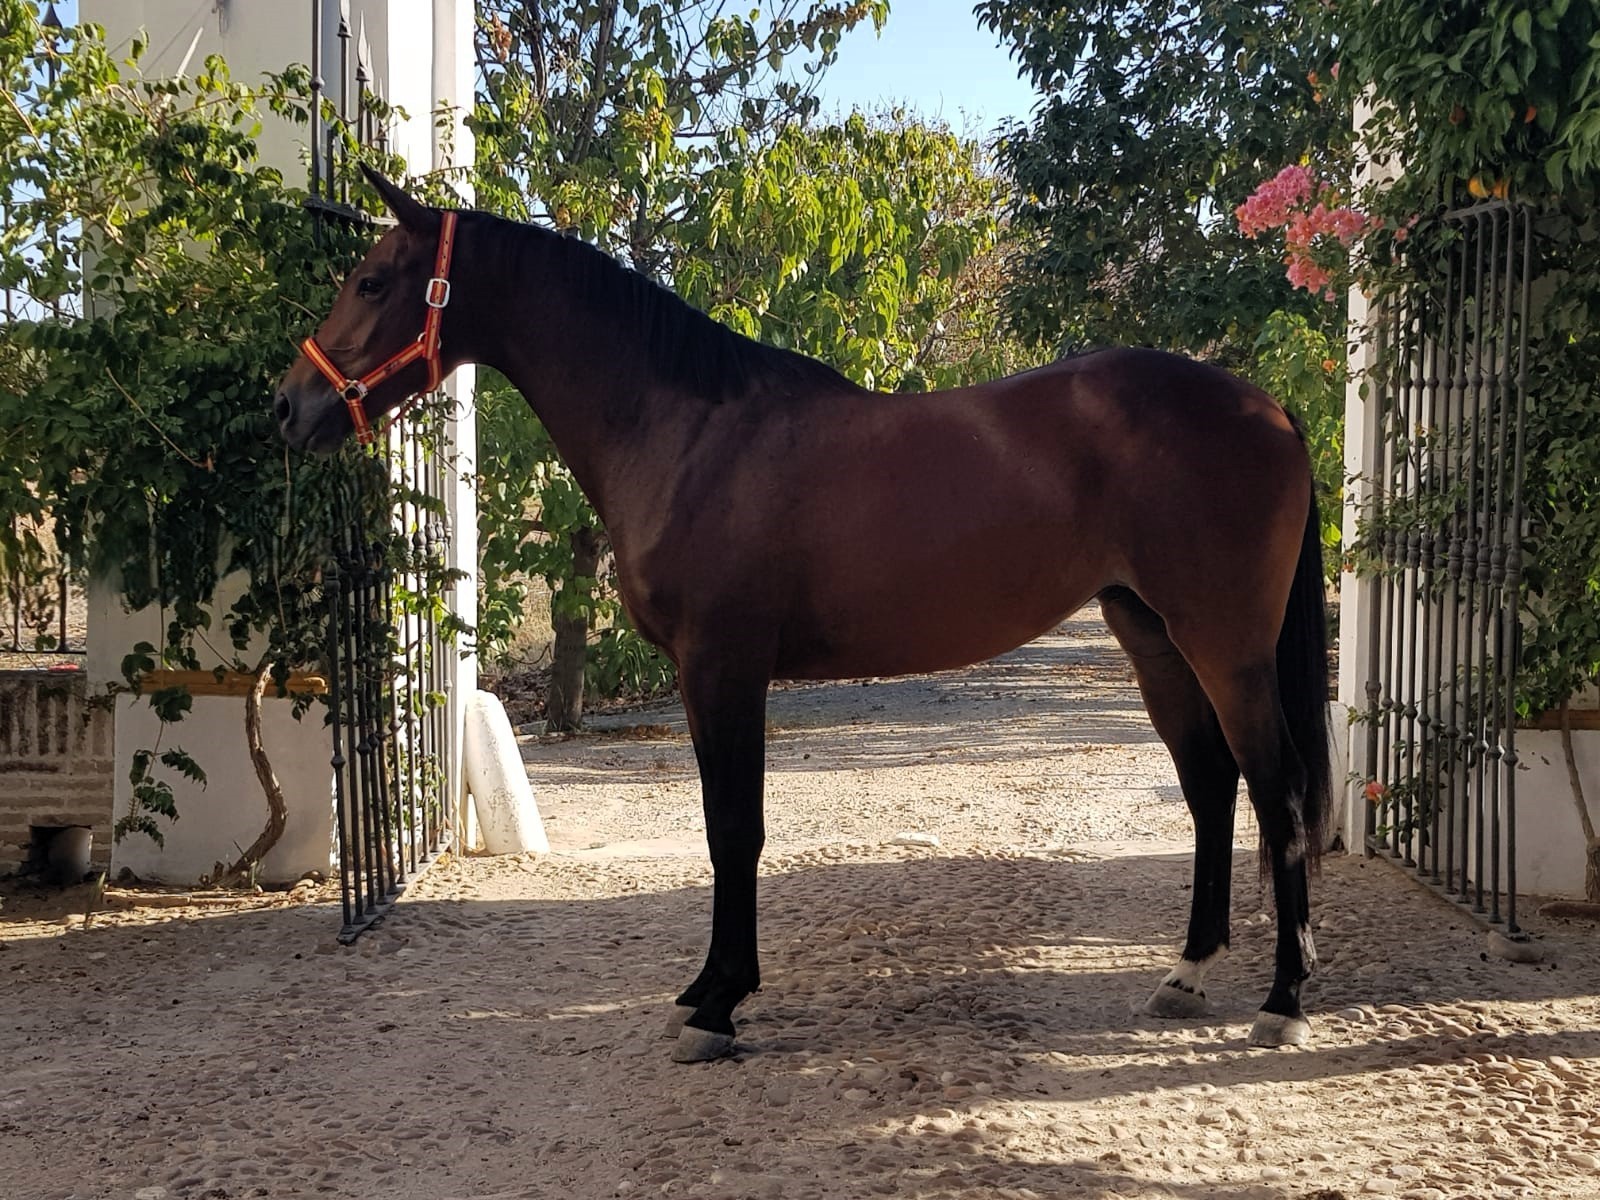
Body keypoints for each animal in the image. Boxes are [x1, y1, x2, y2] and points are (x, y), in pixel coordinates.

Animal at [276, 169, 1332, 1063]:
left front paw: (719, 1006)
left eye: (371, 280)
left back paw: (1283, 1002)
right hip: (1153, 638)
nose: (289, 407)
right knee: (1211, 788)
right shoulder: (707, 678)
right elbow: (723, 826)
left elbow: (733, 830)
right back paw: (1187, 975)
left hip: (1226, 649)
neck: (688, 431)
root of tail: (1271, 409)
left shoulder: (723, 668)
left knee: (1275, 793)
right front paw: (706, 987)